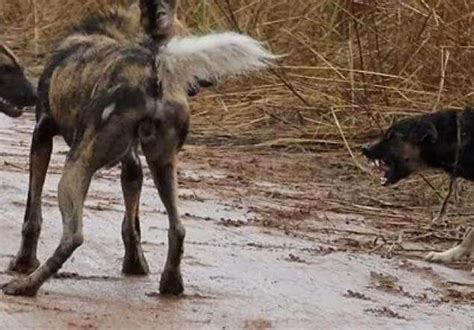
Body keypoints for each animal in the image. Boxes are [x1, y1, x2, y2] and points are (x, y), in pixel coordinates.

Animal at [0, 0, 274, 296]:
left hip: (75, 169)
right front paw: (135, 263)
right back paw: (171, 284)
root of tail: (154, 66)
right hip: (162, 165)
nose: (209, 80)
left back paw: (27, 285)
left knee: (74, 236)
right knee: (178, 228)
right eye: (185, 34)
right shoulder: (131, 161)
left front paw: (24, 262)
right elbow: (132, 224)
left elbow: (32, 215)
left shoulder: (41, 136)